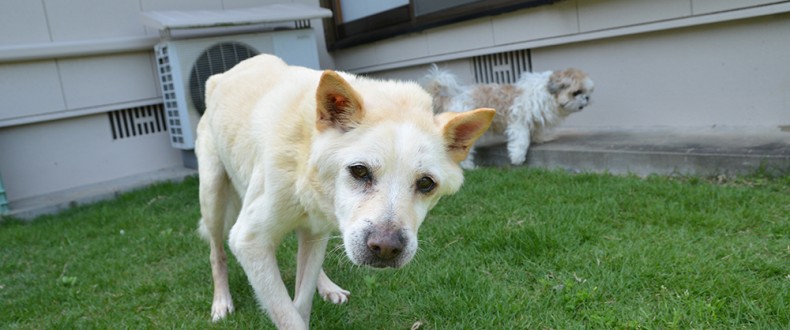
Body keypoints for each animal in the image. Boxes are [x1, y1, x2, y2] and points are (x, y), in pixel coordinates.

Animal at [196, 54, 496, 328]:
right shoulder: (249, 241)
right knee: (215, 253)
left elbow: (301, 304)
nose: (386, 249)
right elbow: (288, 315)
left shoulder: (315, 229)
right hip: (213, 197)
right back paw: (221, 303)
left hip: (314, 231)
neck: (304, 154)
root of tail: (221, 76)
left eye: (425, 183)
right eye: (360, 171)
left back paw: (327, 286)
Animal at [424, 65, 592, 168]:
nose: (587, 98)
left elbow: (537, 129)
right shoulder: (518, 120)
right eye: (576, 92)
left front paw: (541, 138)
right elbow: (521, 140)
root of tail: (449, 98)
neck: (548, 93)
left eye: (588, 92)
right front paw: (518, 157)